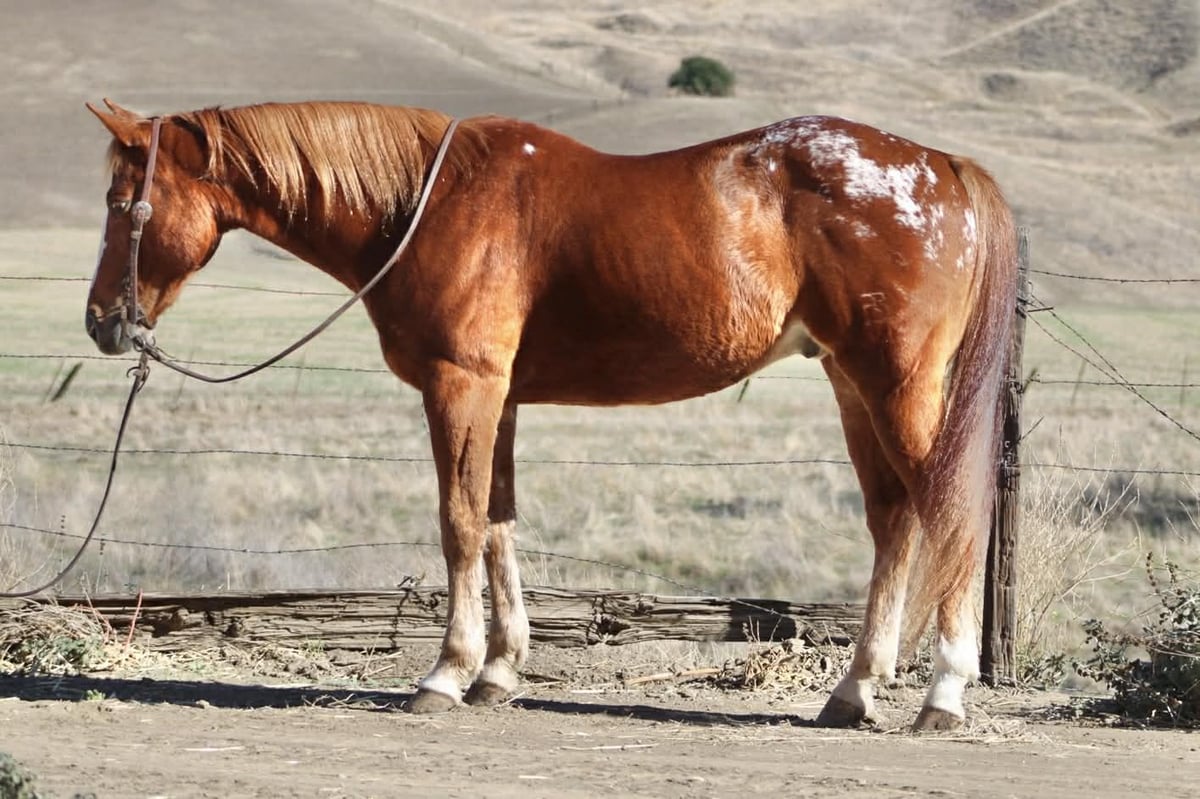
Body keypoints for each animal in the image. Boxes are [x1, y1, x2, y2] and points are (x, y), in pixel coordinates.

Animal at [84, 98, 1017, 730]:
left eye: (122, 203)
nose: (102, 322)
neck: (428, 203)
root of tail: (943, 166)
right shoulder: (499, 399)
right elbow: (499, 522)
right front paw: (498, 671)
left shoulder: (461, 386)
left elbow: (459, 522)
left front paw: (446, 672)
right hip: (853, 385)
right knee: (894, 518)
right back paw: (854, 688)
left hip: (899, 386)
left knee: (949, 514)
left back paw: (943, 692)